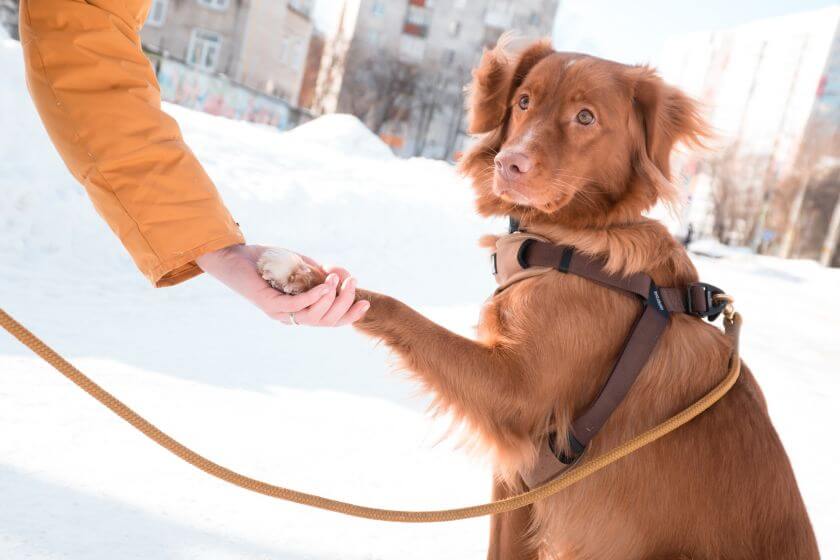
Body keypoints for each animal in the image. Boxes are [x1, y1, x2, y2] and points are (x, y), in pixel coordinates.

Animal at [260, 40, 816, 560]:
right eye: (524, 101)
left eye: (586, 116)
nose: (509, 164)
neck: (570, 244)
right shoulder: (517, 482)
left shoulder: (516, 396)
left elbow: (398, 308)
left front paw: (303, 276)